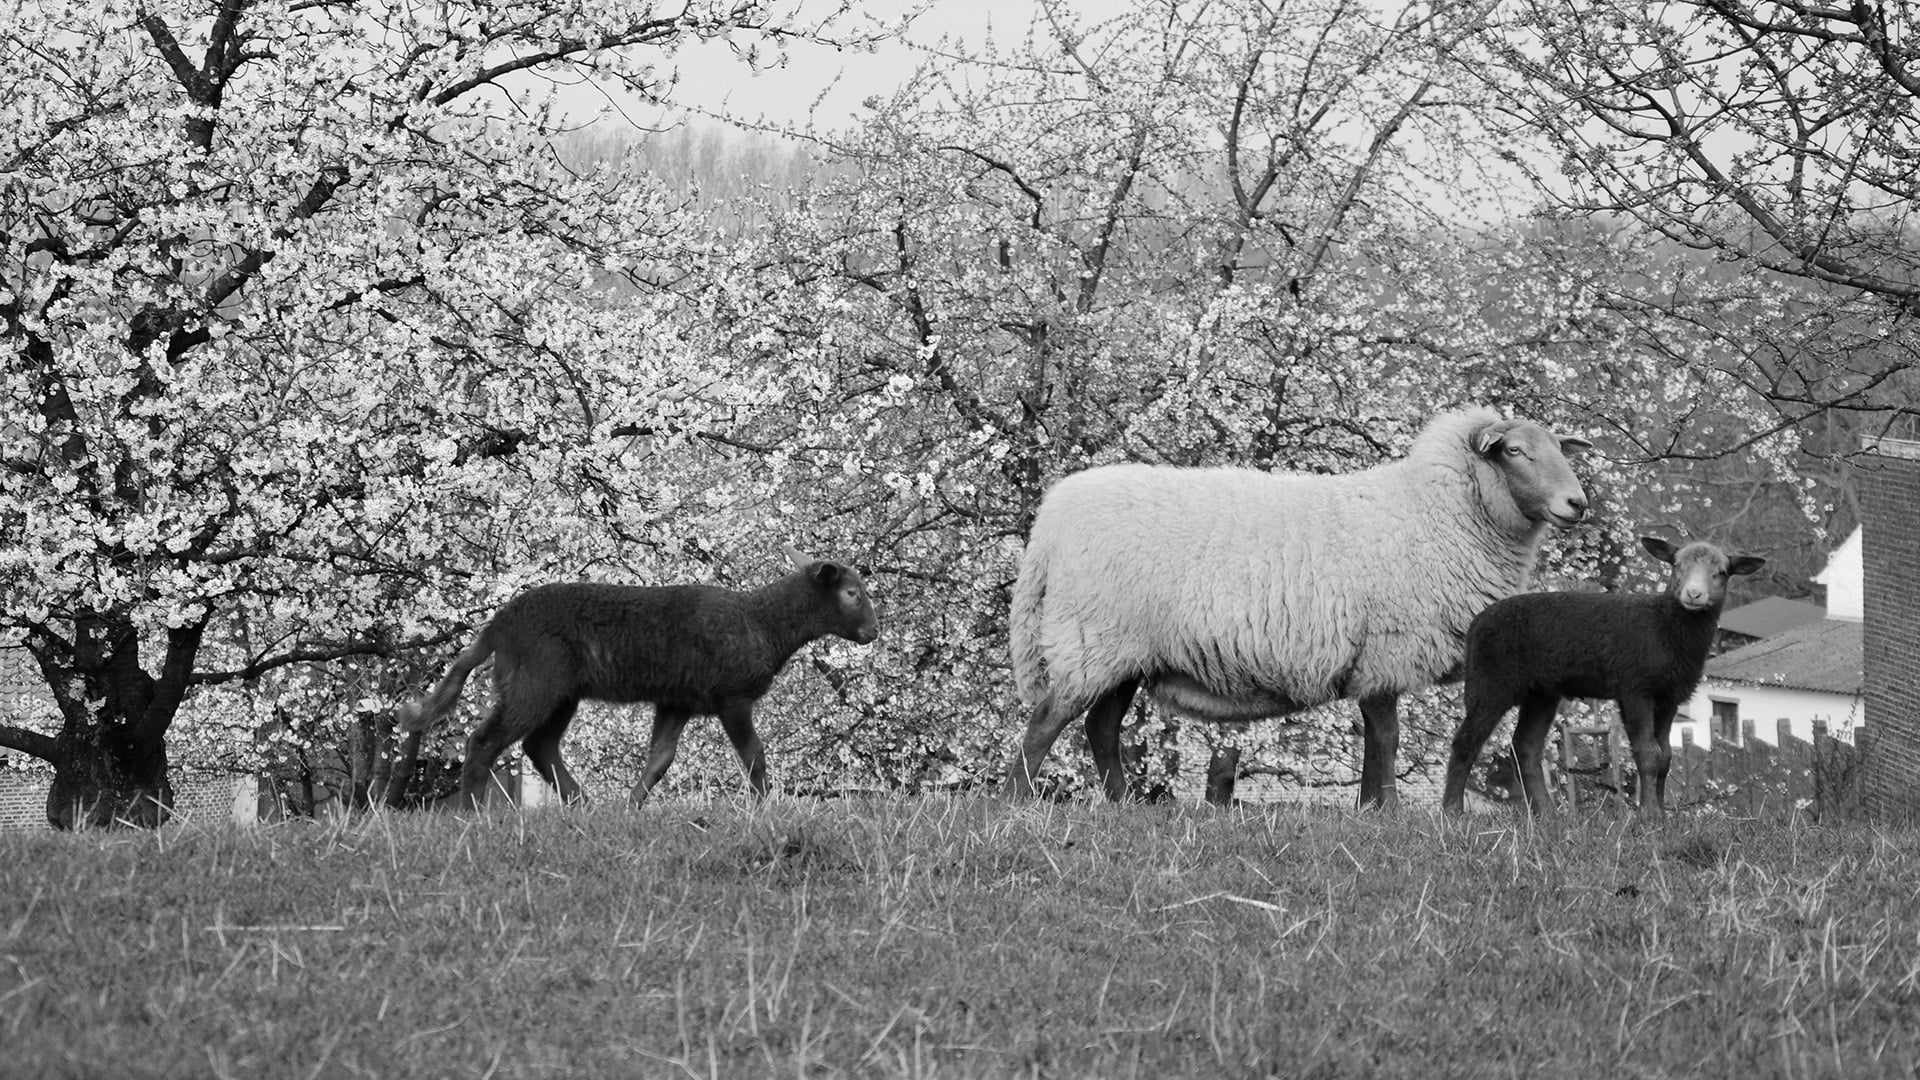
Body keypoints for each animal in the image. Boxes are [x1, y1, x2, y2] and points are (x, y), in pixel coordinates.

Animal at [397, 545, 879, 807]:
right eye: (852, 593)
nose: (874, 632)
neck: (765, 626)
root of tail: (495, 628)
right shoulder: (731, 695)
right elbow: (754, 756)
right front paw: (765, 805)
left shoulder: (678, 699)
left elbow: (659, 760)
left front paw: (630, 807)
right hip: (535, 681)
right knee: (483, 742)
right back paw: (473, 814)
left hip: (560, 691)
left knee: (539, 746)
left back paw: (584, 805)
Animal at [1006, 407, 1589, 803]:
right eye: (1515, 451)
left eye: (1560, 449)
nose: (1578, 504)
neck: (1434, 512)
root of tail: (1050, 522)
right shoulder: (1386, 650)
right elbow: (1388, 738)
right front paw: (1387, 811)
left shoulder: (1374, 659)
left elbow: (1376, 740)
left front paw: (1369, 810)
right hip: (1094, 638)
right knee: (1046, 722)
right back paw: (1015, 801)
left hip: (1121, 651)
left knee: (1099, 728)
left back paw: (1121, 804)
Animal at [1443, 534, 1766, 818]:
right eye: (1676, 566)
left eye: (1721, 572)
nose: (1694, 594)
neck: (1664, 627)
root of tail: (1476, 623)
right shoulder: (1635, 688)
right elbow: (1648, 753)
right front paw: (1648, 816)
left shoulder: (1670, 696)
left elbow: (1665, 756)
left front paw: (1663, 813)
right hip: (1490, 680)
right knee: (1465, 743)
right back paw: (1453, 812)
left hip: (1541, 691)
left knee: (1525, 747)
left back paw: (1548, 814)